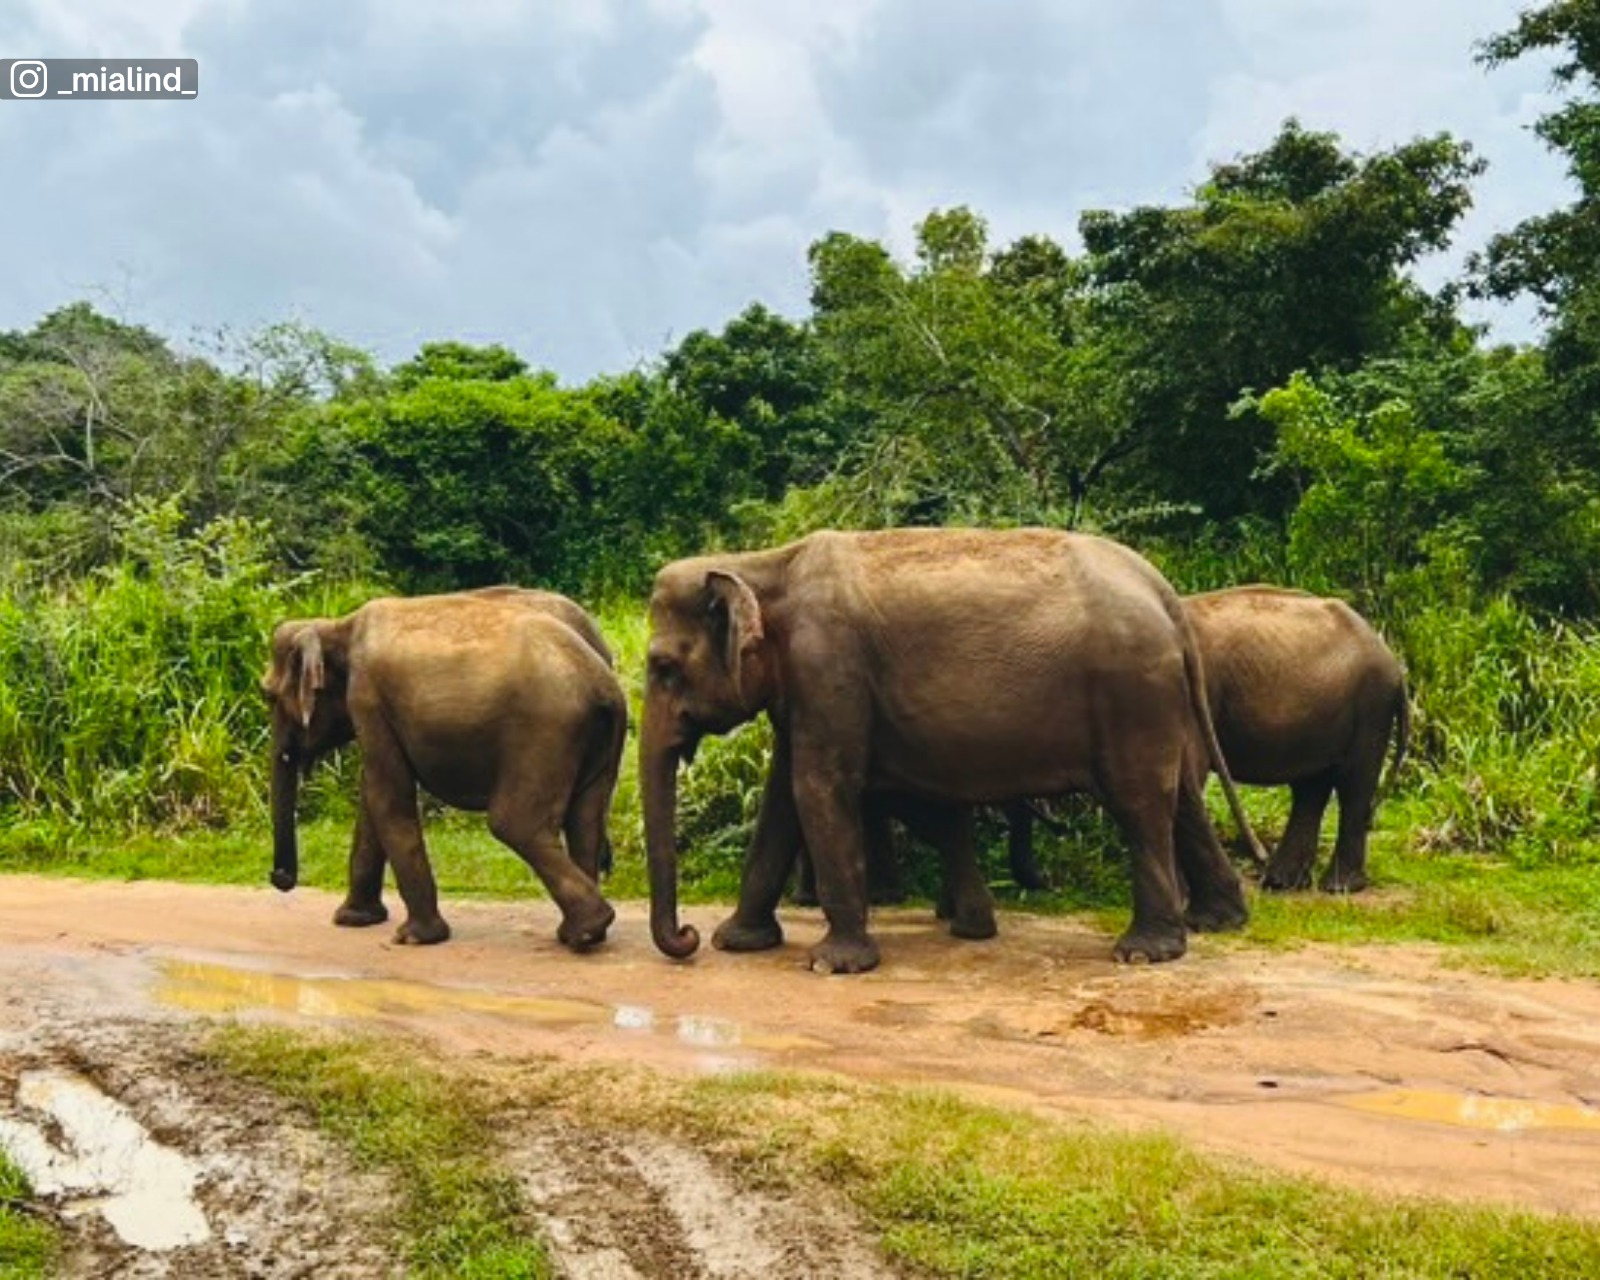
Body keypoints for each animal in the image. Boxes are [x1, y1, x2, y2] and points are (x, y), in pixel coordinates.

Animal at [262, 589, 625, 950]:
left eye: (268, 697)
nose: (279, 878)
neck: (337, 625)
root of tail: (605, 683)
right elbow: (373, 798)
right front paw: (354, 920)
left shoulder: (367, 698)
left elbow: (386, 796)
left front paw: (414, 938)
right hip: (595, 738)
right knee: (586, 819)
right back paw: (581, 934)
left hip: (544, 732)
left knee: (515, 823)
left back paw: (588, 928)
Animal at [639, 527, 1266, 974]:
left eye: (663, 667)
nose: (687, 937)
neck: (763, 563)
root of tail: (1165, 595)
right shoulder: (807, 689)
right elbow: (783, 798)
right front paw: (738, 942)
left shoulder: (829, 668)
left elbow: (817, 788)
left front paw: (831, 965)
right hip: (1155, 699)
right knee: (1181, 798)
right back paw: (1217, 921)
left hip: (1132, 689)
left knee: (1140, 803)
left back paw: (1143, 953)